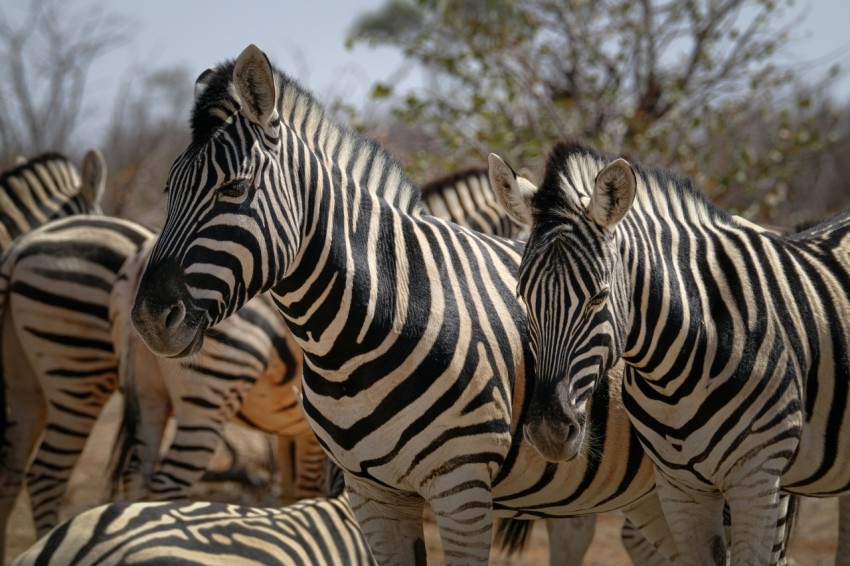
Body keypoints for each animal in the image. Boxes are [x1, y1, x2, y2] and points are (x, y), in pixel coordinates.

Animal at [129, 44, 686, 565]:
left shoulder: (461, 490)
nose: (150, 319)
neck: (356, 340)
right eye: (168, 188)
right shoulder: (371, 494)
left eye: (235, 189)